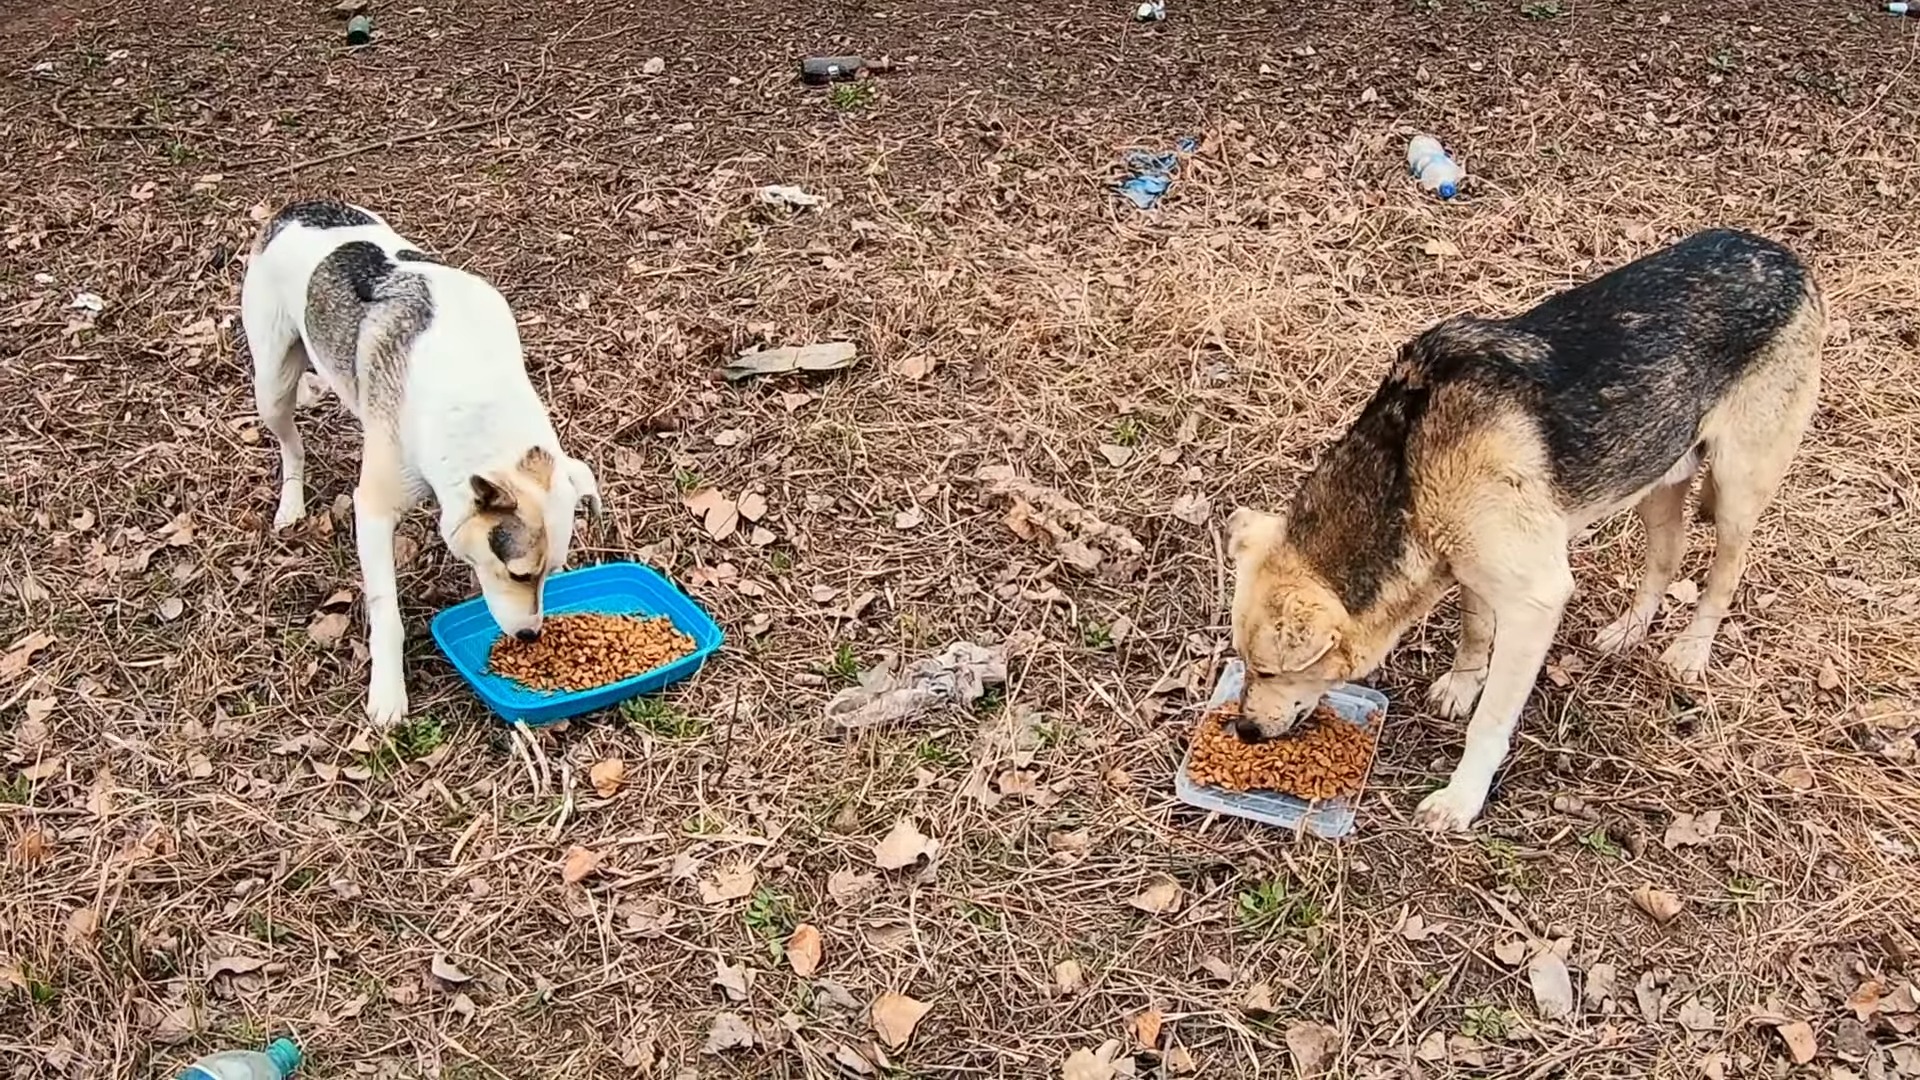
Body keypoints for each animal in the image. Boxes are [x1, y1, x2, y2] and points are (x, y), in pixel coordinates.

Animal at [240, 201, 599, 722]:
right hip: (271, 383)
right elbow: (386, 612)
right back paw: (291, 504)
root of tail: (293, 209)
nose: (531, 635)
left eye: (553, 572)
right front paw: (388, 694)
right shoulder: (373, 510)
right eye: (519, 574)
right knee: (292, 445)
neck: (476, 387)